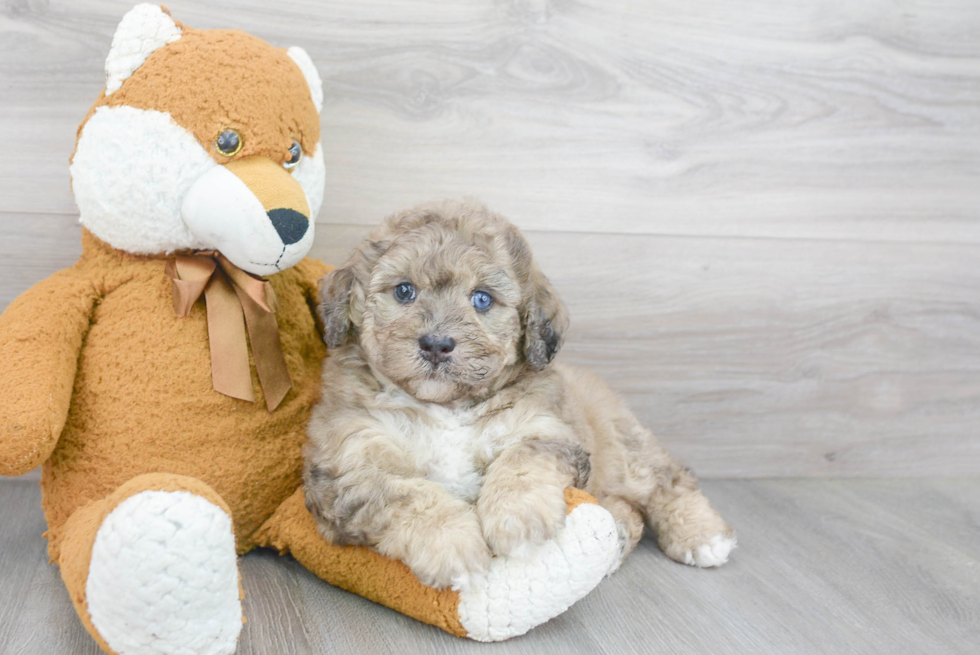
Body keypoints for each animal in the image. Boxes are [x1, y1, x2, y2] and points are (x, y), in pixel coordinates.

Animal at [306, 199, 736, 588]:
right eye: (404, 291)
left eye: (482, 299)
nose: (436, 344)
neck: (447, 407)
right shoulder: (348, 467)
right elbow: (408, 494)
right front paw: (453, 546)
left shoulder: (547, 430)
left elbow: (521, 461)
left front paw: (518, 519)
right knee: (626, 508)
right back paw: (615, 539)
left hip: (628, 450)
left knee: (670, 482)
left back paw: (702, 536)